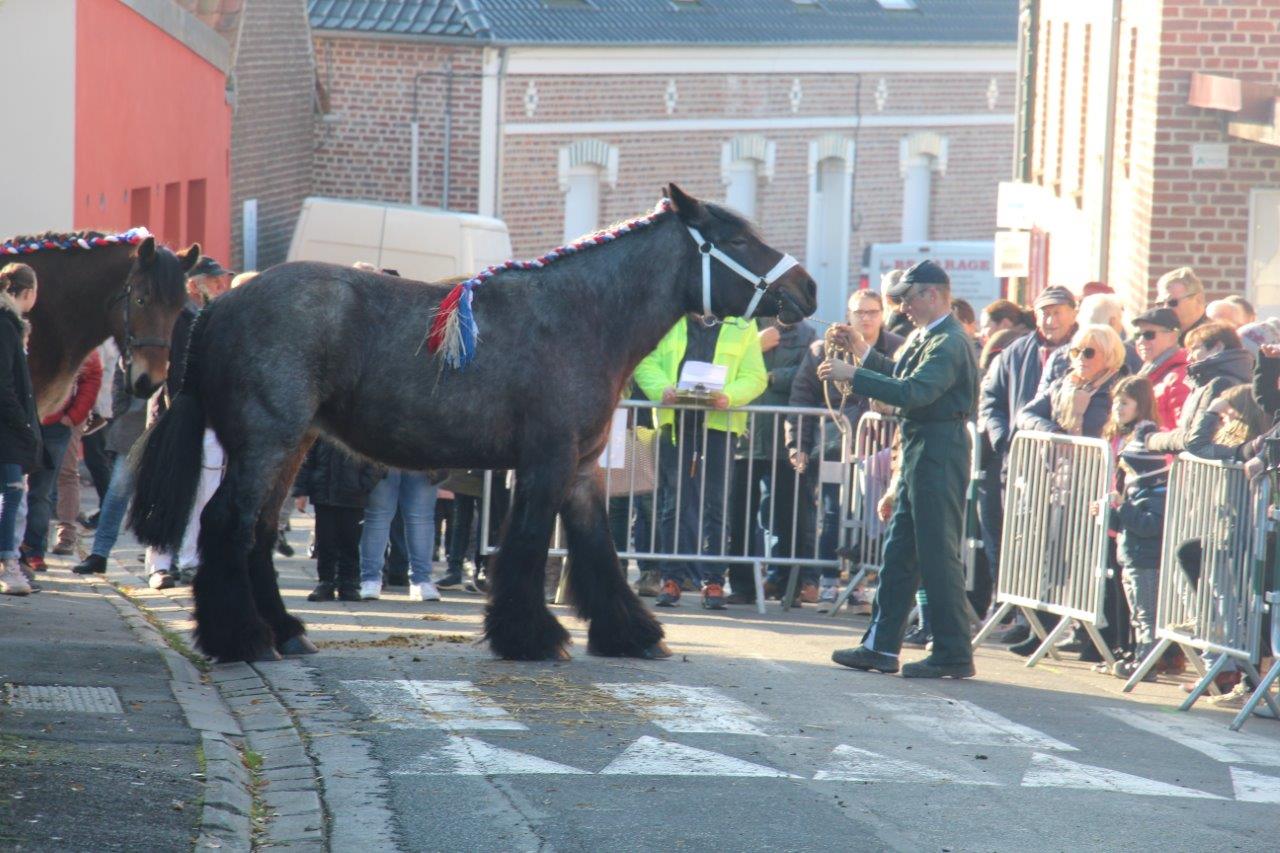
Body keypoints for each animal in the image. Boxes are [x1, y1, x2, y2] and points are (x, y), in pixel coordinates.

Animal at [124, 184, 814, 666]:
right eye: (738, 240)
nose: (806, 288)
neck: (582, 316)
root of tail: (217, 308)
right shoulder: (545, 463)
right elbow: (529, 544)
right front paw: (529, 636)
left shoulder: (583, 469)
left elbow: (598, 551)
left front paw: (630, 633)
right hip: (266, 442)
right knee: (226, 523)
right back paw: (239, 637)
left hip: (291, 445)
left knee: (259, 531)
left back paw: (284, 632)